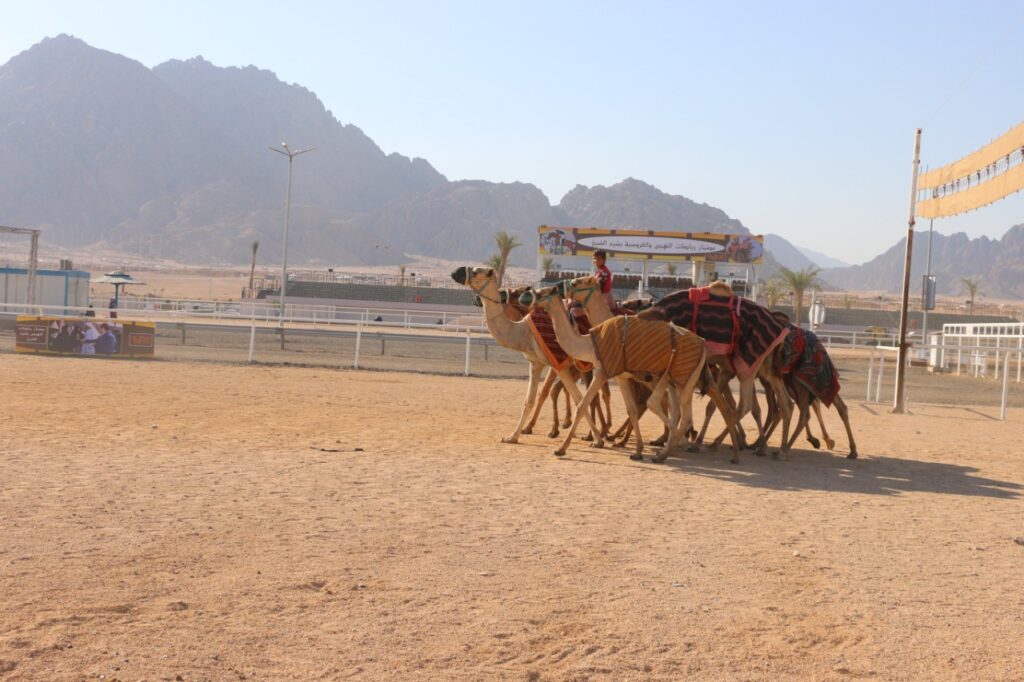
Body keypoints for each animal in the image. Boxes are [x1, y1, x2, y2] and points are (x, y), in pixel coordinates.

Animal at [451, 266, 602, 444]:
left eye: (475, 271)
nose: (456, 271)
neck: (523, 332)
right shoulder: (535, 363)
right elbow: (529, 400)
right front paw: (512, 436)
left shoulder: (557, 364)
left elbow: (576, 396)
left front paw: (597, 438)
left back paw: (600, 434)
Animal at [523, 284, 741, 463]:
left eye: (542, 293)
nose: (527, 297)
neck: (588, 343)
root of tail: (703, 346)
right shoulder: (621, 376)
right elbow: (632, 409)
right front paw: (636, 451)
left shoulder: (602, 371)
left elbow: (582, 405)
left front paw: (562, 448)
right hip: (682, 379)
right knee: (684, 410)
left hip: (682, 378)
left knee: (684, 409)